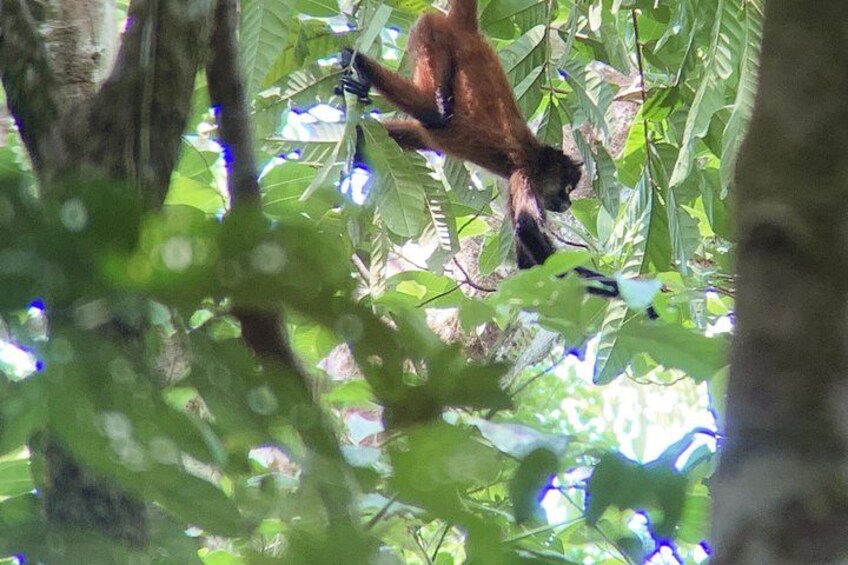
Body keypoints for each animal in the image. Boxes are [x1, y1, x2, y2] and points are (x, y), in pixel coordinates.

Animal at [339, 0, 658, 318]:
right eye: (566, 189)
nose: (567, 204)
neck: (535, 156)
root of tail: (466, 29)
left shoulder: (515, 181)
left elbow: (527, 262)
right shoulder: (523, 175)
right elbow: (528, 228)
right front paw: (634, 296)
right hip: (432, 36)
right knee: (435, 113)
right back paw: (361, 64)